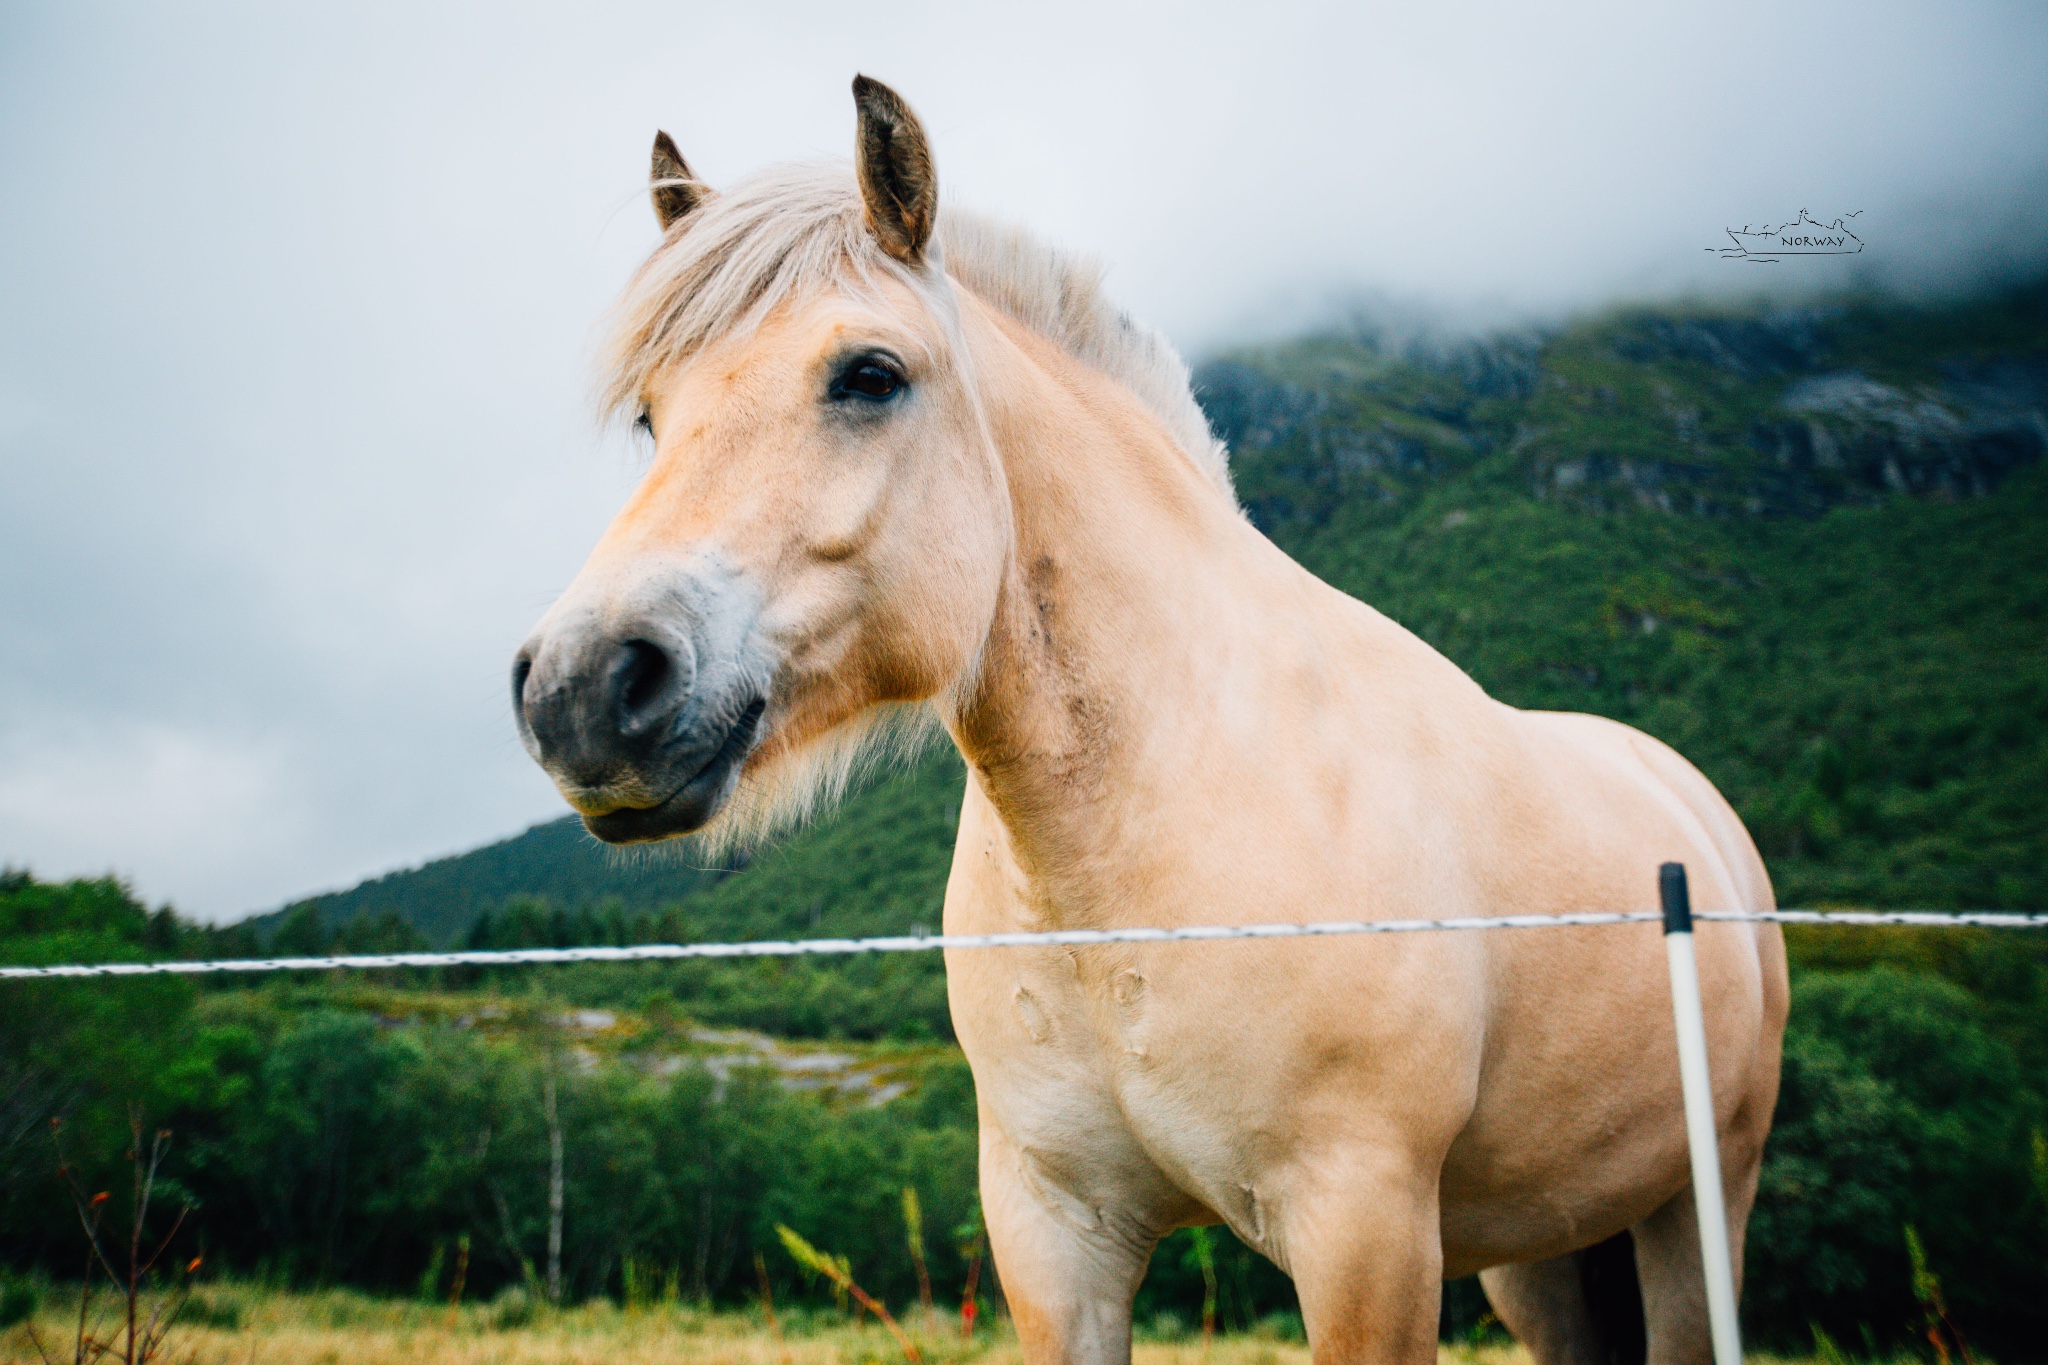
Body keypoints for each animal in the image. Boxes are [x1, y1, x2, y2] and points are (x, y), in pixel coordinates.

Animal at [516, 77, 1794, 1365]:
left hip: (1696, 1208)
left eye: (869, 374)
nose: (580, 689)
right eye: (650, 418)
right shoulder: (1053, 1235)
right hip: (1540, 1252)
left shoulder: (1364, 1229)